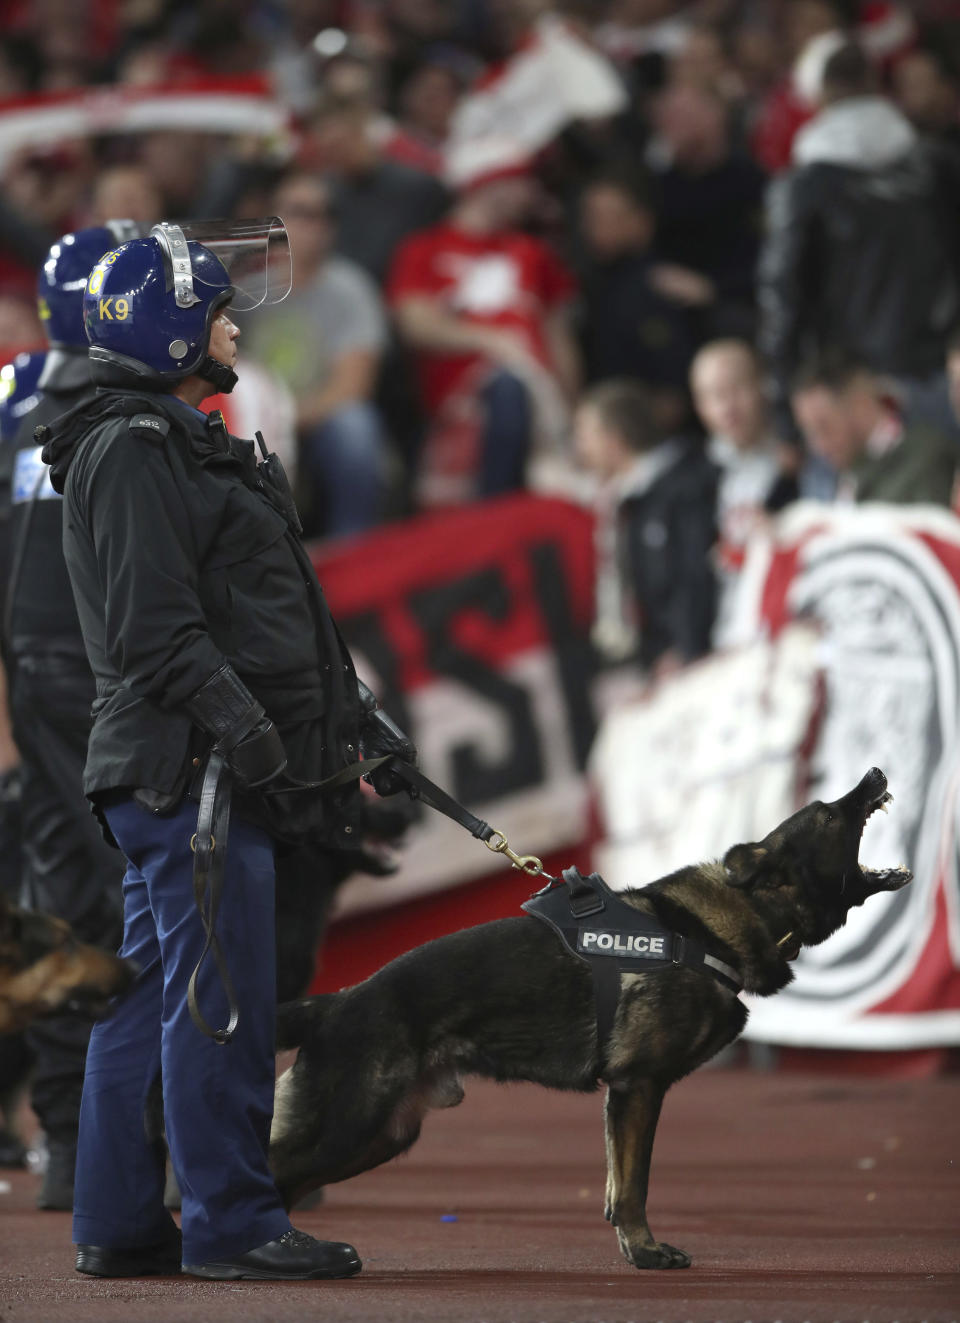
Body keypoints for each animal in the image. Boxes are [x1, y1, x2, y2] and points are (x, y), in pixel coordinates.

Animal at [268, 767, 909, 1270]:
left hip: (382, 1135)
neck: (729, 919)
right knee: (272, 1173)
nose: (876, 773)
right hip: (352, 1127)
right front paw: (647, 1253)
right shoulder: (638, 1085)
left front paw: (632, 1246)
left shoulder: (624, 1097)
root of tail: (336, 1001)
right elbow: (635, 1185)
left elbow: (615, 1181)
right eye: (829, 814)